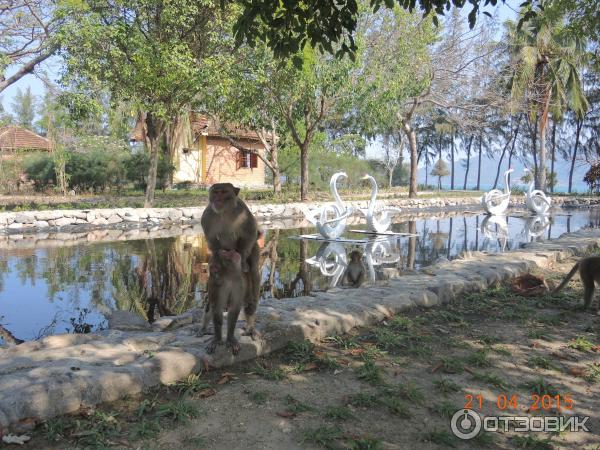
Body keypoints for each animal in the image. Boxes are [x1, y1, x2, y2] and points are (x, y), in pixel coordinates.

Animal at [202, 182, 260, 338]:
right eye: (216, 192)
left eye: (224, 192)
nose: (218, 199)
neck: (225, 212)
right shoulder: (207, 216)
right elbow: (212, 242)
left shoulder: (243, 212)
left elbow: (250, 233)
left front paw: (243, 261)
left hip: (255, 250)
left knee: (253, 276)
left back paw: (250, 324)